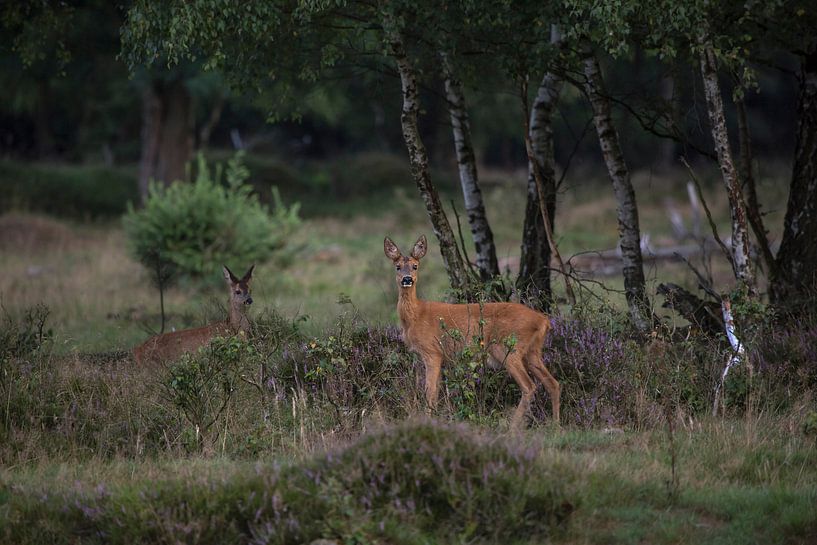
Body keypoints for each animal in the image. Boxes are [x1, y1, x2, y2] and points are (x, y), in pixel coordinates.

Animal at [386, 236, 556, 428]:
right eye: (397, 266)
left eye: (415, 266)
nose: (407, 279)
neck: (415, 316)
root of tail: (543, 320)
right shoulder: (441, 357)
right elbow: (436, 391)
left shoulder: (432, 352)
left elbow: (429, 391)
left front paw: (427, 421)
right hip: (532, 351)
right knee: (553, 383)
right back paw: (555, 424)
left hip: (507, 348)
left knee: (529, 386)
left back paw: (512, 427)